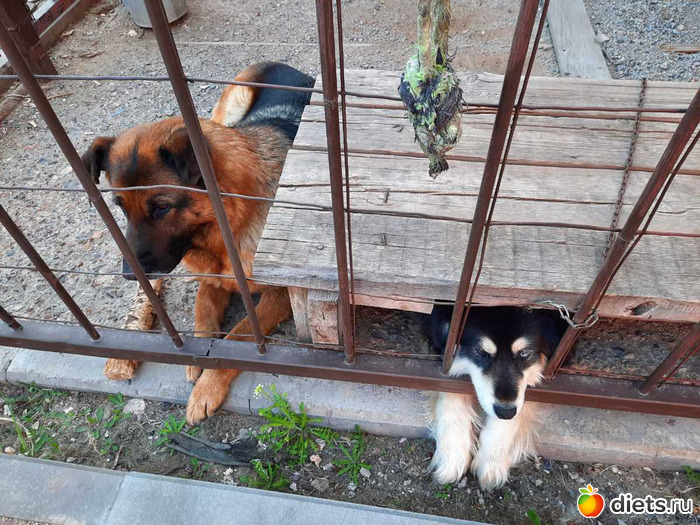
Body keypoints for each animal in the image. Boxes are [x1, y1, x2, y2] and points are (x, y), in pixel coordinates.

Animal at [81, 62, 314, 425]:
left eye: (161, 207)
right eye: (120, 207)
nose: (129, 276)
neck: (226, 230)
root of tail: (288, 67)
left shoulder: (280, 295)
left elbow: (241, 331)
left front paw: (207, 387)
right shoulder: (212, 280)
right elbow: (202, 311)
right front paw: (199, 360)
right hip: (229, 107)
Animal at [426, 306, 565, 490]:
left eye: (524, 353)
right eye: (481, 351)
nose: (505, 412)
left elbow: (513, 417)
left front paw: (491, 461)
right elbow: (450, 399)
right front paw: (452, 455)